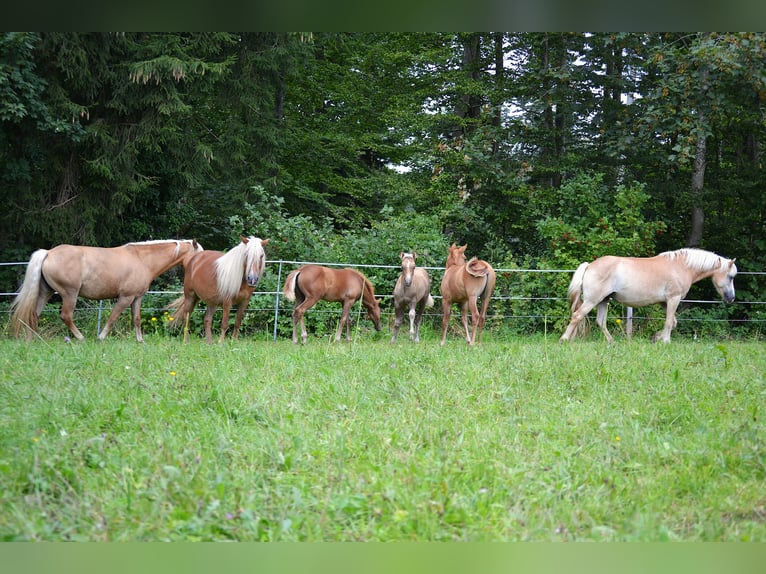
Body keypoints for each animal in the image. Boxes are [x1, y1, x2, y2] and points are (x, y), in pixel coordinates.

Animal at [10, 238, 202, 342]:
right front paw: (100, 338)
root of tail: (49, 253)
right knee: (66, 316)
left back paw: (32, 340)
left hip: (46, 292)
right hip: (69, 294)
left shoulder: (137, 298)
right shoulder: (125, 297)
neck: (142, 259)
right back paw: (80, 338)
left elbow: (137, 319)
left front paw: (140, 341)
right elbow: (113, 317)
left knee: (34, 315)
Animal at [560, 248, 740, 342]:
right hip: (592, 300)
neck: (681, 266)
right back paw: (564, 339)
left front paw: (656, 338)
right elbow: (669, 322)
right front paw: (665, 341)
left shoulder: (665, 302)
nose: (731, 299)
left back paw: (611, 342)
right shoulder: (673, 299)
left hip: (603, 301)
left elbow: (673, 322)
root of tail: (590, 265)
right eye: (731, 277)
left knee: (600, 321)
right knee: (577, 316)